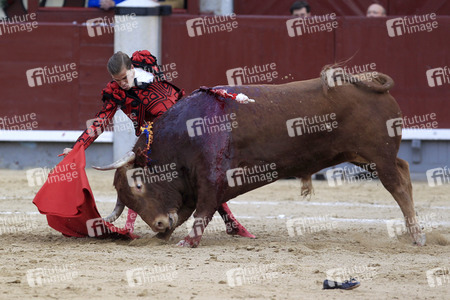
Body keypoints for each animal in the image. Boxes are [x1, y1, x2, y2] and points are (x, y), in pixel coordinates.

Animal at [95, 68, 426, 248]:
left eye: (139, 185)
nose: (160, 223)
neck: (185, 133)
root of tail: (369, 82)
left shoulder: (210, 178)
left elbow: (202, 211)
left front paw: (187, 241)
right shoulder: (190, 188)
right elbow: (190, 212)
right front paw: (163, 237)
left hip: (378, 156)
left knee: (397, 186)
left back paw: (417, 236)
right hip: (364, 156)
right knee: (405, 170)